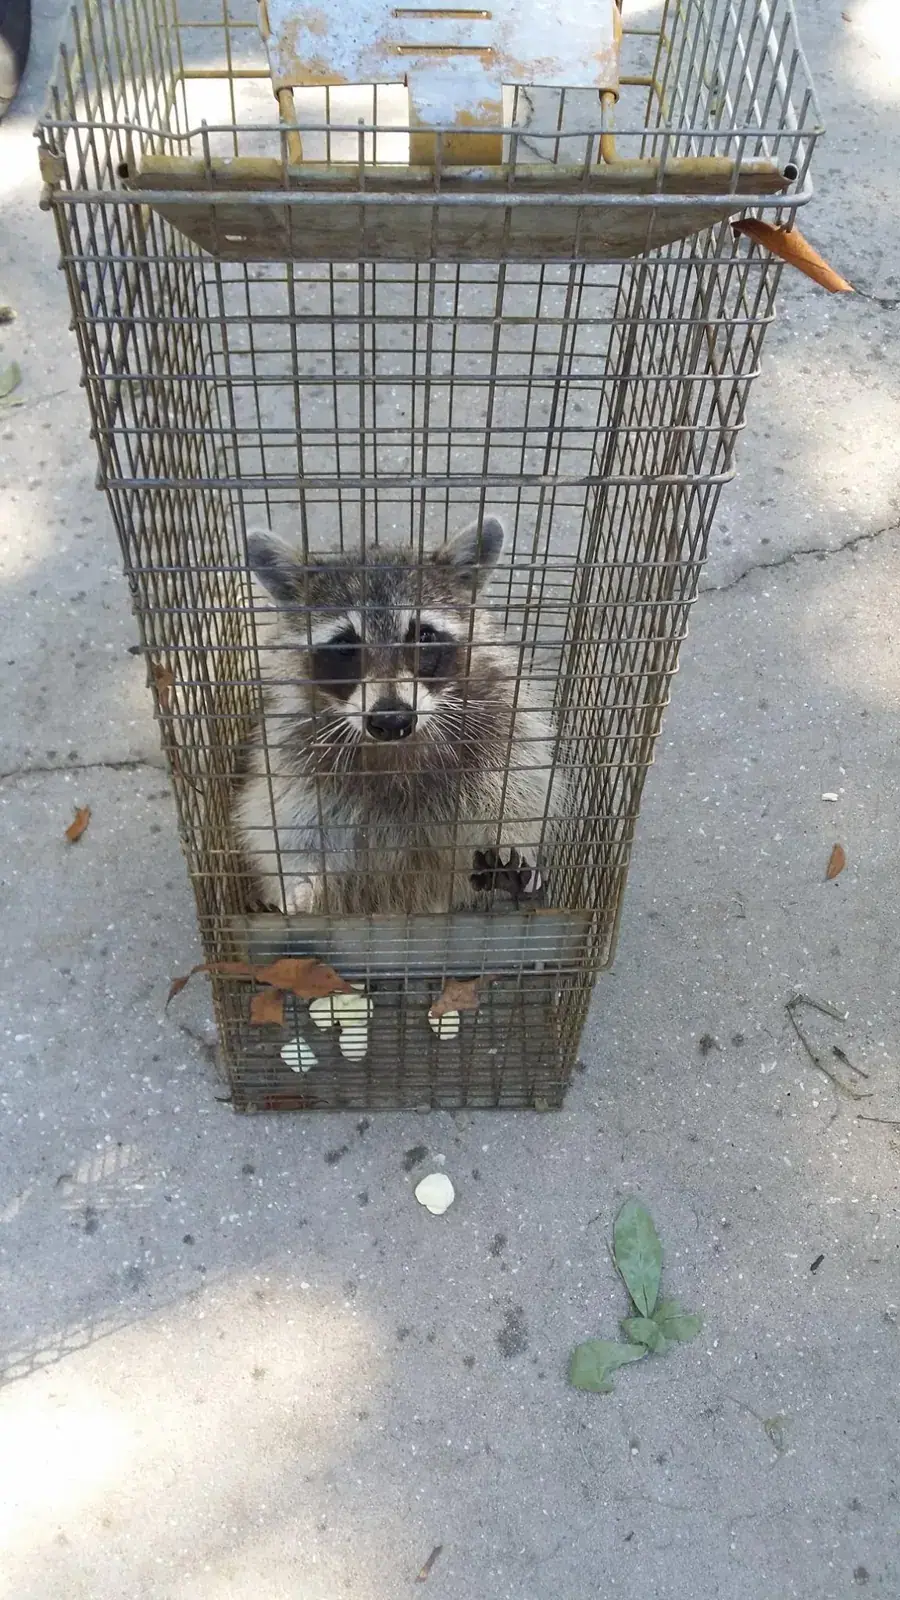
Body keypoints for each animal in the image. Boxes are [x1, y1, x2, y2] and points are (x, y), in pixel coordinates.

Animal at [234, 516, 559, 915]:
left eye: (424, 636)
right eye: (345, 646)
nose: (391, 722)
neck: (396, 750)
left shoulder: (499, 719)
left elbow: (520, 787)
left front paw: (509, 839)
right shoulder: (295, 752)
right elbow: (285, 825)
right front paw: (302, 883)